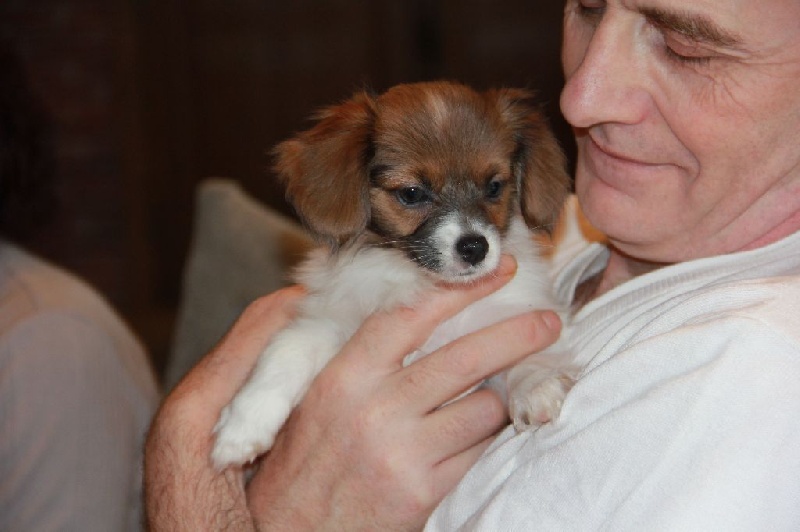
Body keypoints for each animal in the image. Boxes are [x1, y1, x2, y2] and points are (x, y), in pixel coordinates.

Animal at [211, 81, 577, 468]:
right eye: (412, 193)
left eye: (494, 186)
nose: (475, 247)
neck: (421, 280)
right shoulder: (330, 321)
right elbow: (288, 351)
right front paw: (243, 426)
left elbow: (531, 357)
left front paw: (537, 384)